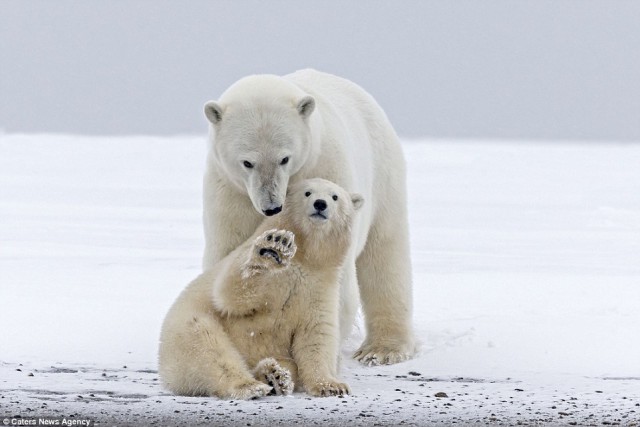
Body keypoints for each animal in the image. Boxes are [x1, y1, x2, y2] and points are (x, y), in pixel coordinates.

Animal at [202, 69, 418, 364]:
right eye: (247, 162)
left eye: (284, 158)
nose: (272, 207)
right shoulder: (230, 194)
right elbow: (228, 259)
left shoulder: (326, 169)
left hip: (383, 175)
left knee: (385, 254)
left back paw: (383, 349)